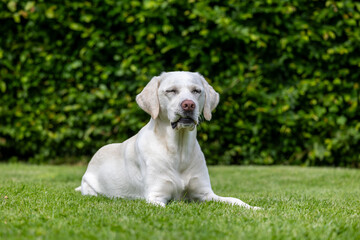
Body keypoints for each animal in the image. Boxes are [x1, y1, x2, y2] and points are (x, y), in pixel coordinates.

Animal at [76, 71, 258, 208]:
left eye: (196, 91)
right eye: (171, 91)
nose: (188, 105)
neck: (179, 150)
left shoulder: (206, 193)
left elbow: (235, 200)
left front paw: (254, 208)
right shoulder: (156, 196)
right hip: (89, 187)